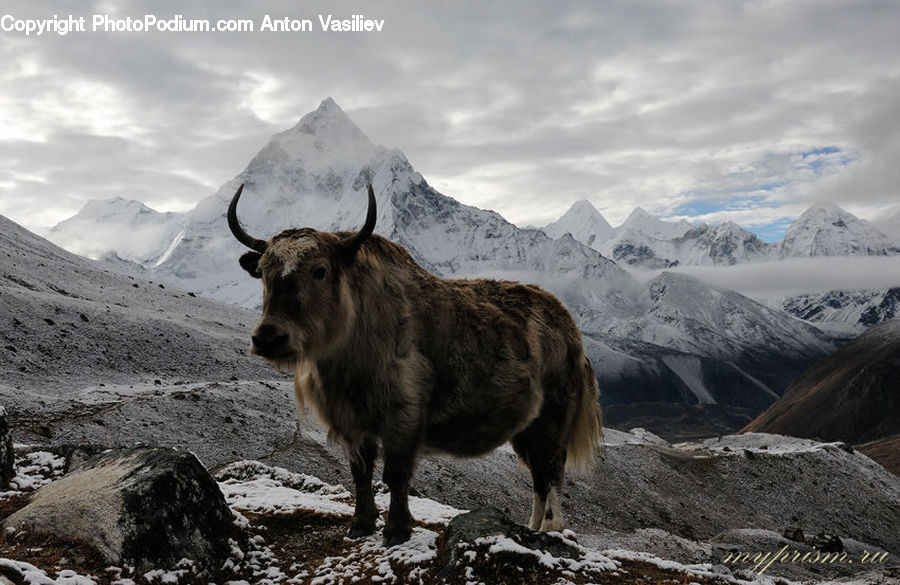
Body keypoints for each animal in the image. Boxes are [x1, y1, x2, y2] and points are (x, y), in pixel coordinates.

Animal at [228, 183, 602, 546]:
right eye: (263, 272)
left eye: (320, 271)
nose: (268, 337)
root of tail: (566, 323)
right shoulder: (351, 420)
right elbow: (360, 472)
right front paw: (360, 525)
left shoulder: (403, 414)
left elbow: (395, 472)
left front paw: (396, 530)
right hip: (525, 429)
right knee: (538, 474)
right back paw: (532, 526)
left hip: (553, 417)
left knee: (552, 469)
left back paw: (551, 528)